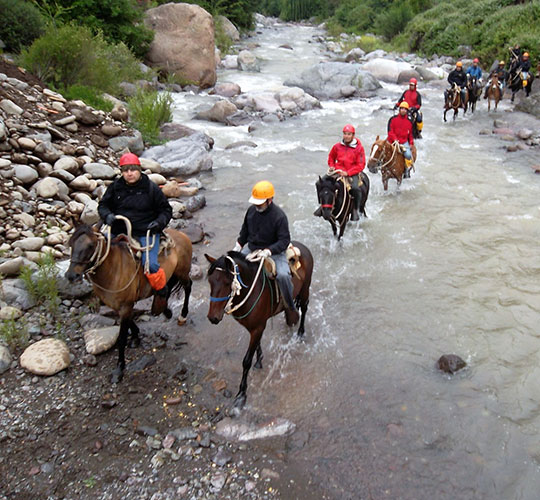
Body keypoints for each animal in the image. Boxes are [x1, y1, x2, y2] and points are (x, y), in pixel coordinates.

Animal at [65, 224, 193, 382]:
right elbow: (130, 321)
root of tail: (182, 235)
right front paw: (136, 336)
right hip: (173, 273)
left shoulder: (125, 306)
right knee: (167, 288)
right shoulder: (117, 305)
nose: (71, 276)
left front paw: (119, 368)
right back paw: (166, 310)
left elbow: (121, 338)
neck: (112, 270)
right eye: (70, 244)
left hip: (182, 271)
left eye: (90, 245)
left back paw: (183, 315)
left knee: (188, 286)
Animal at [205, 243, 314, 410]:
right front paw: (259, 359)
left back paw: (301, 332)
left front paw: (242, 394)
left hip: (305, 288)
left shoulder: (257, 328)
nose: (213, 317)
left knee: (305, 307)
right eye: (210, 281)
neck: (249, 290)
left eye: (227, 283)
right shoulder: (257, 327)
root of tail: (303, 248)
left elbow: (246, 361)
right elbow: (257, 346)